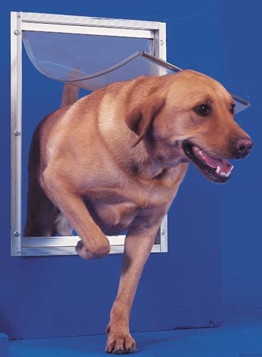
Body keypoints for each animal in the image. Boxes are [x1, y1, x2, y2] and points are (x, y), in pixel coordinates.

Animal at [24, 71, 252, 354]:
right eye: (201, 109)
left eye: (231, 108)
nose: (247, 145)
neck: (147, 165)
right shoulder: (59, 182)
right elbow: (99, 242)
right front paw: (82, 247)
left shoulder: (144, 233)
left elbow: (127, 291)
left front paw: (119, 333)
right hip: (38, 217)